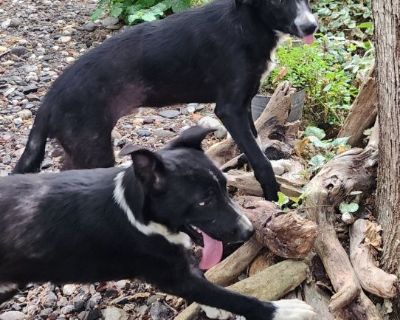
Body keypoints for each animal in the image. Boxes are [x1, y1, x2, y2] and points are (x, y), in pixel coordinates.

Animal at [0, 126, 316, 318]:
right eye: (203, 201)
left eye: (226, 188)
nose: (249, 231)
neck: (136, 214)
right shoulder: (172, 276)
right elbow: (232, 297)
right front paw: (286, 311)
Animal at [13, 0, 318, 200]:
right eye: (277, 0)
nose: (310, 26)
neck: (246, 24)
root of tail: (48, 102)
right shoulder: (230, 109)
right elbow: (259, 160)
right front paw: (273, 198)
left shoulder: (244, 105)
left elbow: (256, 145)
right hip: (94, 148)